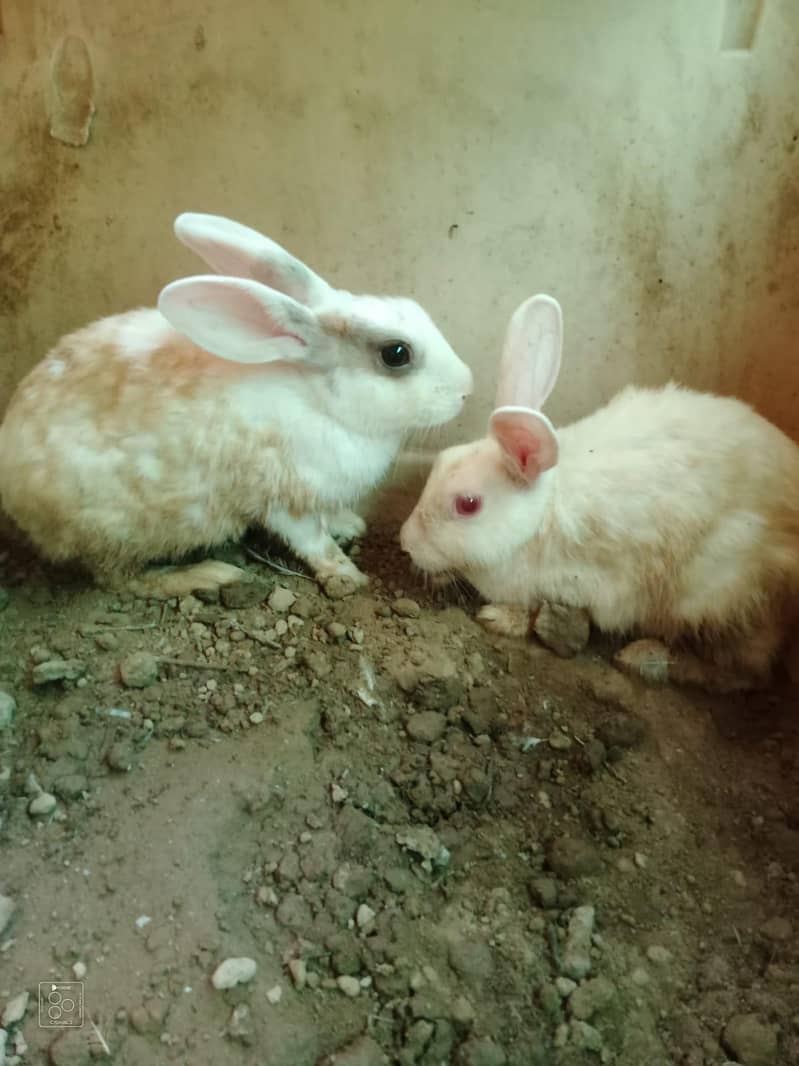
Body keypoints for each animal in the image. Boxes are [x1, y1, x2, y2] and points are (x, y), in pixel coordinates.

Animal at [0, 212, 473, 599]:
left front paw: (348, 524)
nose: (466, 388)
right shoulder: (282, 499)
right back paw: (208, 575)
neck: (318, 398)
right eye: (396, 354)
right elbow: (311, 541)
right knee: (121, 580)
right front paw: (348, 575)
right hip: (115, 532)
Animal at [399, 293, 799, 692]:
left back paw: (646, 657)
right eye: (440, 461)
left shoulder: (589, 586)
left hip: (717, 594)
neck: (539, 518)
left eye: (468, 504)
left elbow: (539, 609)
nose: (406, 542)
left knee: (743, 670)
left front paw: (498, 618)